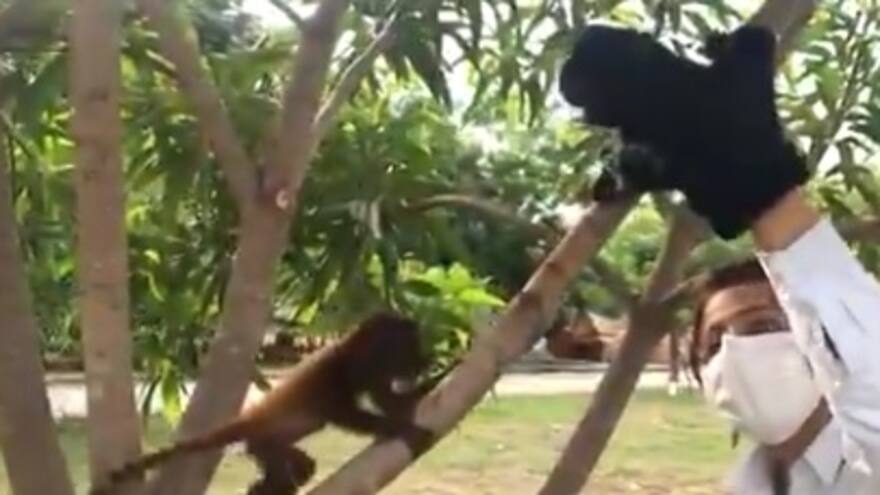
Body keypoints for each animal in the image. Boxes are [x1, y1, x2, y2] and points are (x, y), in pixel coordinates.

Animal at [90, 312, 445, 495]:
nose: (420, 360)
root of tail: (251, 417)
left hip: (264, 442)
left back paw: (270, 486)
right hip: (261, 440)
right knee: (288, 470)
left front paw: (435, 378)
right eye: (408, 345)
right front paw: (402, 428)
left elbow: (394, 402)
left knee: (300, 468)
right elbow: (346, 414)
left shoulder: (371, 373)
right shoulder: (341, 374)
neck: (352, 353)